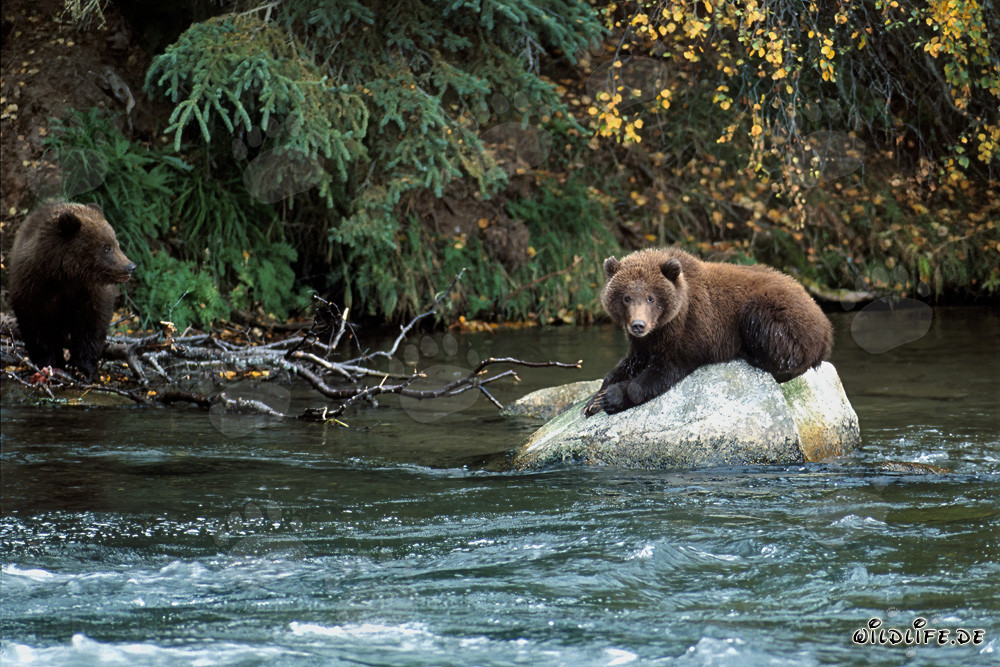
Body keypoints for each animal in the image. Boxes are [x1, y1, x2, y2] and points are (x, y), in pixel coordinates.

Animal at [9, 201, 136, 380]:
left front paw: (83, 369)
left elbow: (91, 328)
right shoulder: (34, 288)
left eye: (115, 243)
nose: (130, 266)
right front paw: (48, 362)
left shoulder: (90, 294)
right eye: (106, 247)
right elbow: (38, 327)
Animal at [583, 247, 832, 416]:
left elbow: (660, 372)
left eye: (650, 297)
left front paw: (614, 397)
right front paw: (594, 400)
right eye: (626, 297)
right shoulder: (647, 342)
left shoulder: (694, 332)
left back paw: (750, 354)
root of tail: (824, 322)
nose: (638, 325)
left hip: (779, 316)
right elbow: (627, 364)